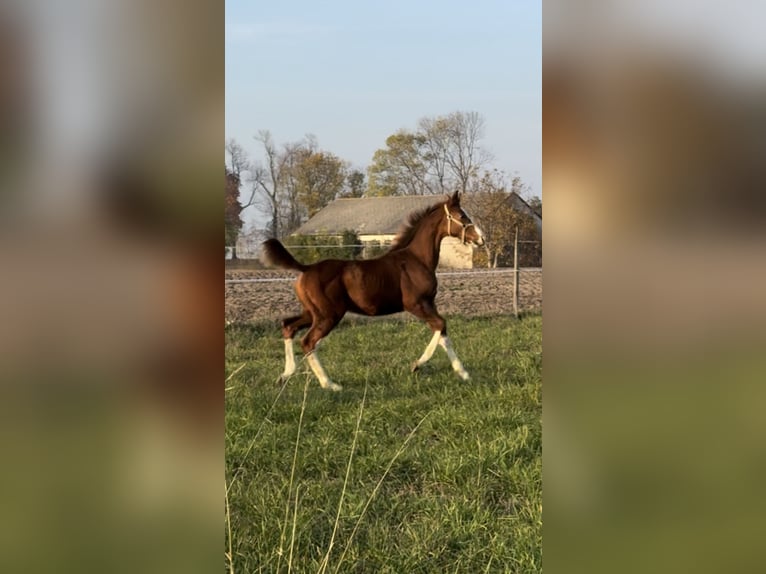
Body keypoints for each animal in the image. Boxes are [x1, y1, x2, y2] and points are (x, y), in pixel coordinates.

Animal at [260, 191, 484, 394]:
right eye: (462, 216)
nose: (480, 239)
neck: (416, 259)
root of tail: (306, 269)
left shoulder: (429, 304)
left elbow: (442, 333)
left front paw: (463, 373)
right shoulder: (416, 304)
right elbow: (441, 325)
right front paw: (417, 365)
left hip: (312, 313)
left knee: (288, 326)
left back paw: (286, 374)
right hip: (328, 315)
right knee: (308, 342)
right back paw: (330, 384)